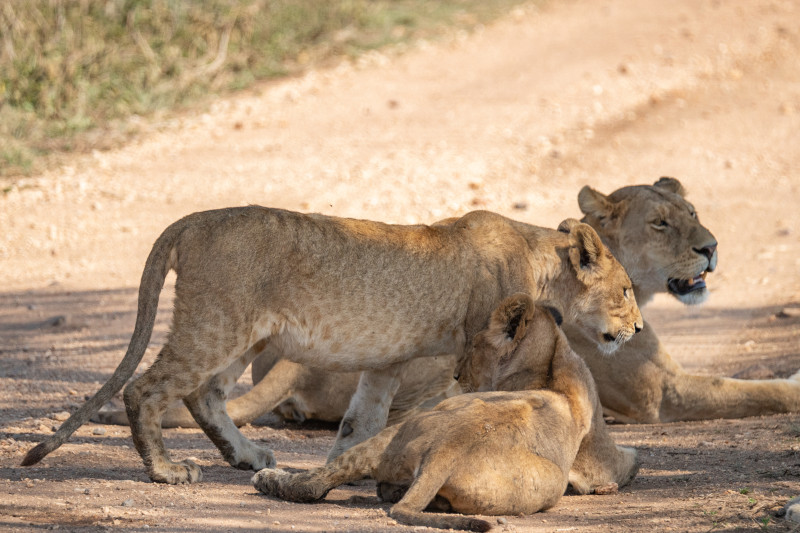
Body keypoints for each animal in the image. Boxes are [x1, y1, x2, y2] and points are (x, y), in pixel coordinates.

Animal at [21, 209, 640, 482]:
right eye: (627, 290)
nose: (635, 329)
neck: (541, 262)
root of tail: (192, 221)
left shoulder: (388, 364)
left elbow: (359, 423)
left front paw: (340, 472)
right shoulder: (478, 351)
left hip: (246, 335)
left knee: (204, 395)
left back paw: (246, 457)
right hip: (216, 323)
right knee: (146, 389)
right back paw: (167, 471)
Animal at [253, 294, 640, 528]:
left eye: (473, 347)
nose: (454, 374)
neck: (551, 362)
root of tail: (446, 450)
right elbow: (628, 462)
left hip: (400, 431)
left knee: (316, 483)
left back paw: (269, 479)